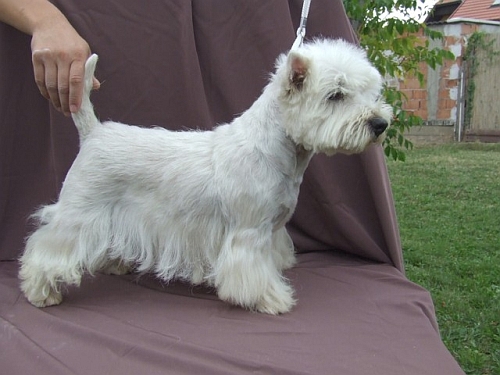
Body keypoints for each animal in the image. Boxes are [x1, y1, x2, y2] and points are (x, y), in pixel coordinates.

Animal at [19, 39, 392, 314]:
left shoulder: (272, 230)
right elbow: (252, 273)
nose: (380, 123)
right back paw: (41, 293)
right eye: (336, 95)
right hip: (80, 211)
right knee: (47, 249)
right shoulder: (249, 233)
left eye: (369, 91)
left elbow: (271, 260)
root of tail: (94, 132)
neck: (280, 151)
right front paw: (271, 298)